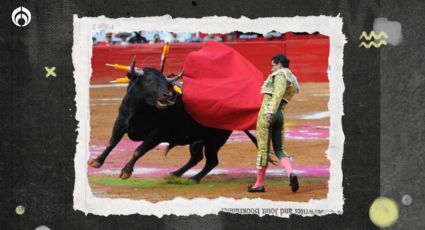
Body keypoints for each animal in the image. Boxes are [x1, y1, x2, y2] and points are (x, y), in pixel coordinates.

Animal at [88, 58, 256, 182]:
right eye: (149, 80)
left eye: (166, 83)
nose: (167, 96)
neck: (143, 110)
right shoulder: (121, 122)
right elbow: (111, 142)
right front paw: (96, 161)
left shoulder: (156, 134)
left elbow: (138, 150)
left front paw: (126, 171)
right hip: (198, 139)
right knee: (197, 157)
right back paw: (175, 173)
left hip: (214, 139)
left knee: (212, 161)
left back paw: (194, 179)